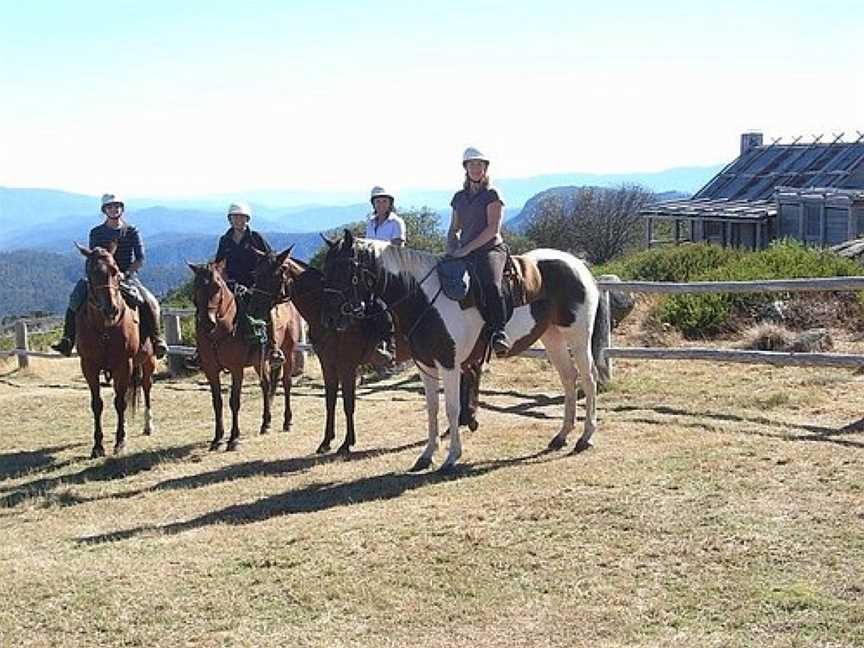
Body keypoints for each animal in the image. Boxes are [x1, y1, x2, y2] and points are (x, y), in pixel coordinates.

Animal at [75, 240, 158, 458]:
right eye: (91, 272)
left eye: (115, 271)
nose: (111, 309)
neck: (104, 328)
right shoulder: (89, 366)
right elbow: (97, 404)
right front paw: (98, 446)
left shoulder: (123, 364)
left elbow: (120, 402)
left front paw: (120, 442)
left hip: (149, 361)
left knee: (146, 387)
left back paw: (148, 425)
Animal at [187, 260, 302, 450]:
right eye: (196, 286)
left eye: (217, 286)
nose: (207, 322)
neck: (221, 331)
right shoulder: (211, 371)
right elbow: (217, 403)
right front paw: (217, 439)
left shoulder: (236, 370)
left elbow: (234, 402)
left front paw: (234, 439)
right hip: (258, 362)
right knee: (266, 385)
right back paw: (266, 423)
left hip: (288, 350)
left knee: (286, 383)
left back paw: (287, 422)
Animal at [250, 247, 482, 456]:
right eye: (257, 273)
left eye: (271, 275)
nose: (253, 308)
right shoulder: (328, 364)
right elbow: (330, 402)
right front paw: (326, 442)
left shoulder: (347, 365)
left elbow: (348, 403)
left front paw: (346, 444)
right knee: (470, 375)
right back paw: (467, 420)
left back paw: (464, 421)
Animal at [320, 232, 612, 470]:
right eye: (326, 269)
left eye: (343, 268)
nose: (331, 318)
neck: (423, 298)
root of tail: (577, 265)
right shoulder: (425, 366)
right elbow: (432, 409)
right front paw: (426, 455)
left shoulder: (449, 364)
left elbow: (452, 408)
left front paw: (451, 457)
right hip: (552, 337)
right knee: (568, 378)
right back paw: (562, 436)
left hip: (578, 336)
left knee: (588, 379)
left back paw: (585, 437)